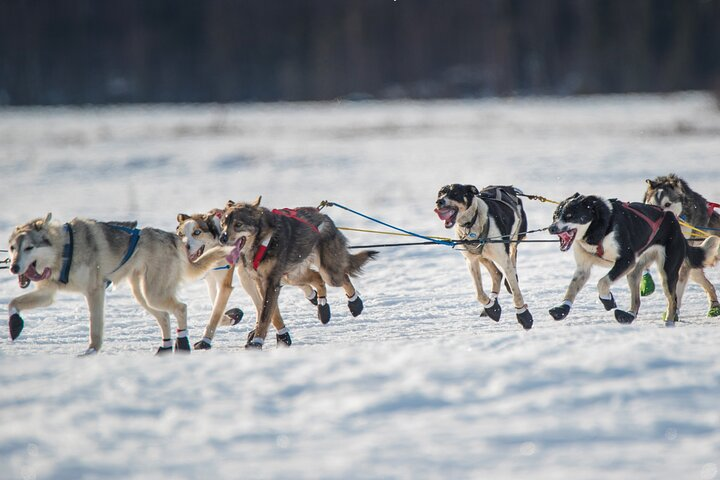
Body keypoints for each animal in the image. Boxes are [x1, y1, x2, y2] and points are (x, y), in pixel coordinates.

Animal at [6, 213, 228, 352]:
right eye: (12, 248)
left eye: (29, 247)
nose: (14, 268)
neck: (65, 250)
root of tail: (175, 238)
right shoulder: (47, 294)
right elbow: (12, 303)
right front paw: (14, 324)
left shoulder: (94, 291)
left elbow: (95, 327)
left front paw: (91, 350)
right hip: (142, 294)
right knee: (165, 316)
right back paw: (165, 348)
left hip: (153, 293)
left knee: (181, 308)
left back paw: (182, 344)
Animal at [219, 196, 376, 348]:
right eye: (223, 224)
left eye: (238, 224)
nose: (222, 238)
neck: (262, 240)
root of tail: (324, 215)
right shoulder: (261, 282)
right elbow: (273, 314)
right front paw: (282, 337)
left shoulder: (271, 282)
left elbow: (265, 315)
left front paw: (257, 341)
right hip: (292, 276)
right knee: (318, 278)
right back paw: (323, 308)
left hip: (329, 273)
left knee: (343, 277)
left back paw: (355, 304)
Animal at [434, 184, 536, 330]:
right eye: (440, 193)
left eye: (455, 193)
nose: (439, 201)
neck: (471, 223)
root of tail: (508, 187)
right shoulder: (471, 261)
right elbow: (479, 294)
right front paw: (492, 307)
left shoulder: (503, 258)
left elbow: (516, 293)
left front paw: (523, 315)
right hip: (481, 254)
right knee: (497, 273)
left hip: (514, 238)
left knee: (512, 258)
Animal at [548, 193, 716, 324]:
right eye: (555, 215)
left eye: (569, 216)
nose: (551, 228)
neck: (600, 228)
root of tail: (674, 221)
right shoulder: (583, 268)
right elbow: (572, 288)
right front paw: (562, 309)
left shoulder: (625, 260)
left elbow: (602, 282)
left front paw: (608, 300)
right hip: (634, 271)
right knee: (637, 299)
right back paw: (628, 315)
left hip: (667, 271)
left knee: (672, 300)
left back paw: (668, 323)